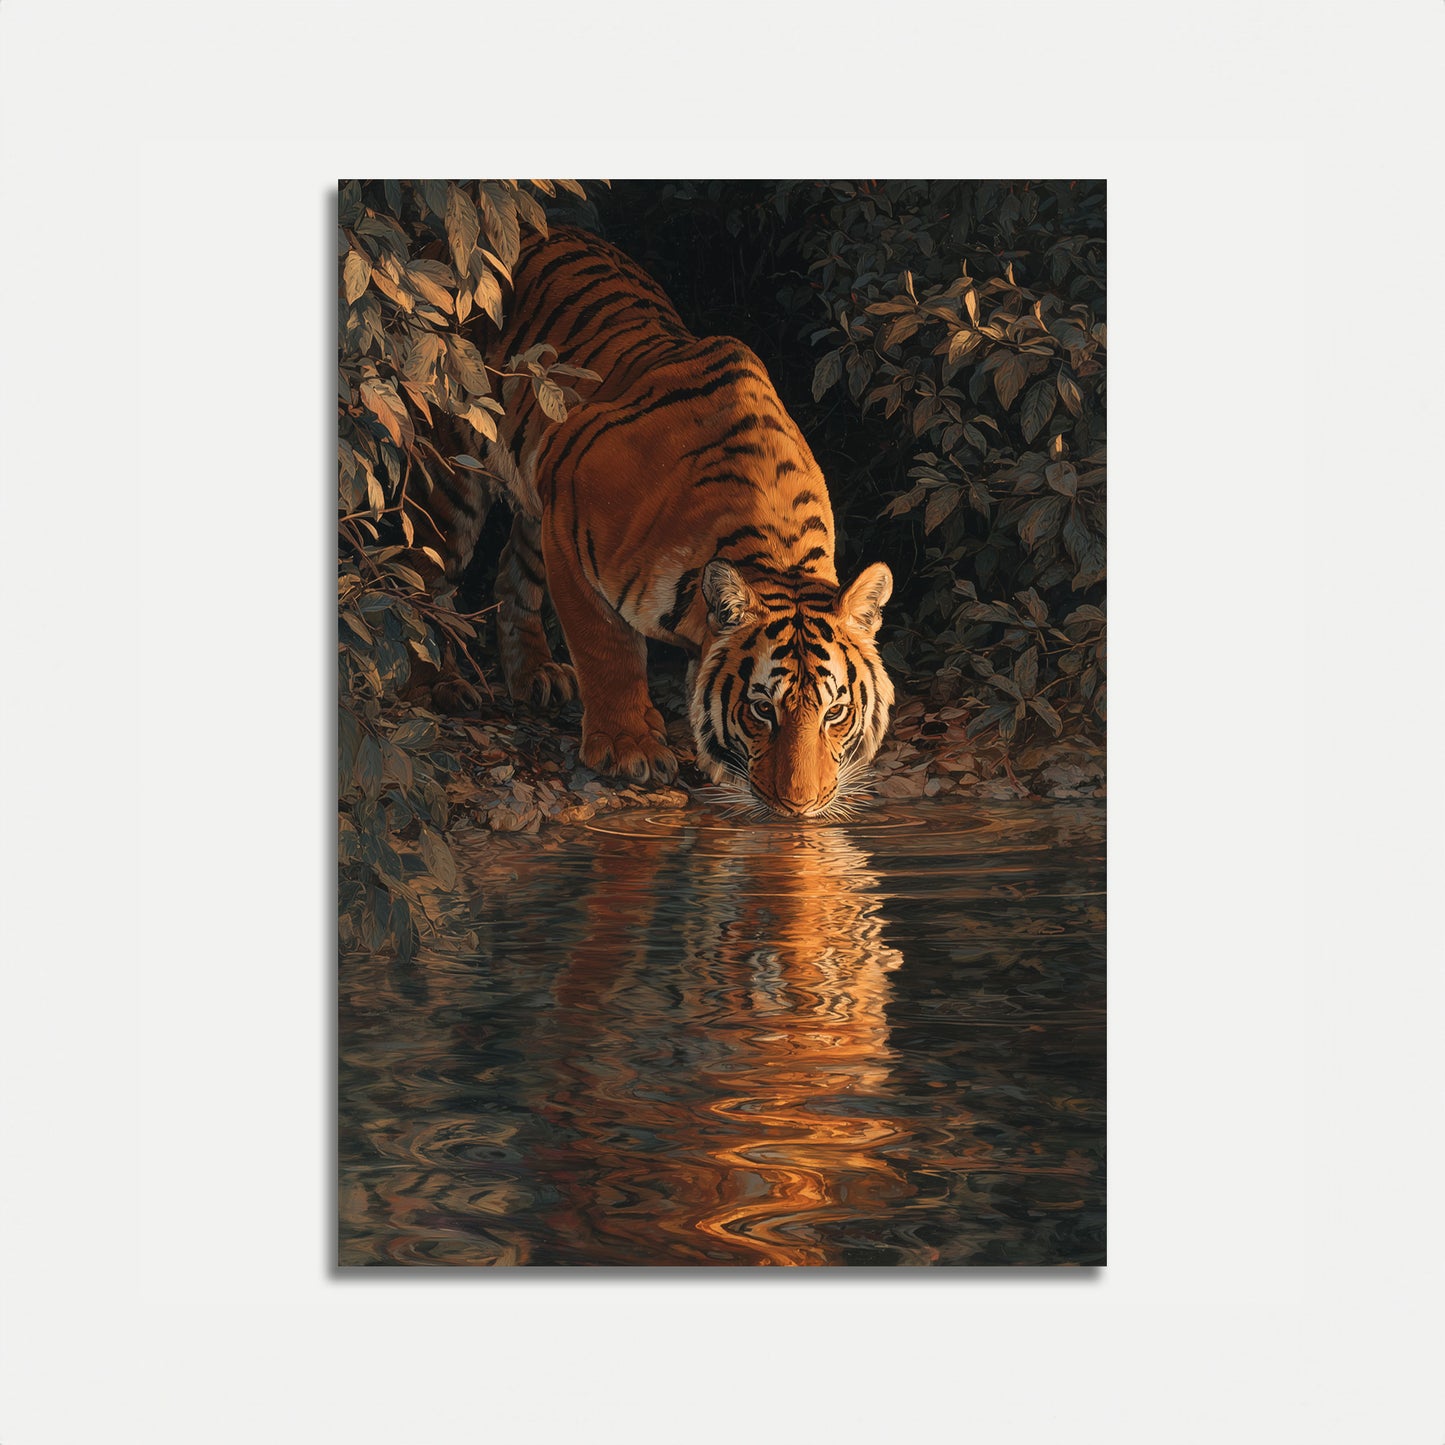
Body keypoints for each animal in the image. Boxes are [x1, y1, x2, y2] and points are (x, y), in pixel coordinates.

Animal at [425, 224, 895, 819]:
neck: (772, 549)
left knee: (512, 571)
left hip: (534, 500)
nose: (799, 808)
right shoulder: (570, 536)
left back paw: (535, 676)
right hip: (453, 477)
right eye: (763, 710)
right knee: (427, 578)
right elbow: (608, 651)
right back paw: (440, 685)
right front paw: (629, 746)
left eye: (835, 712)